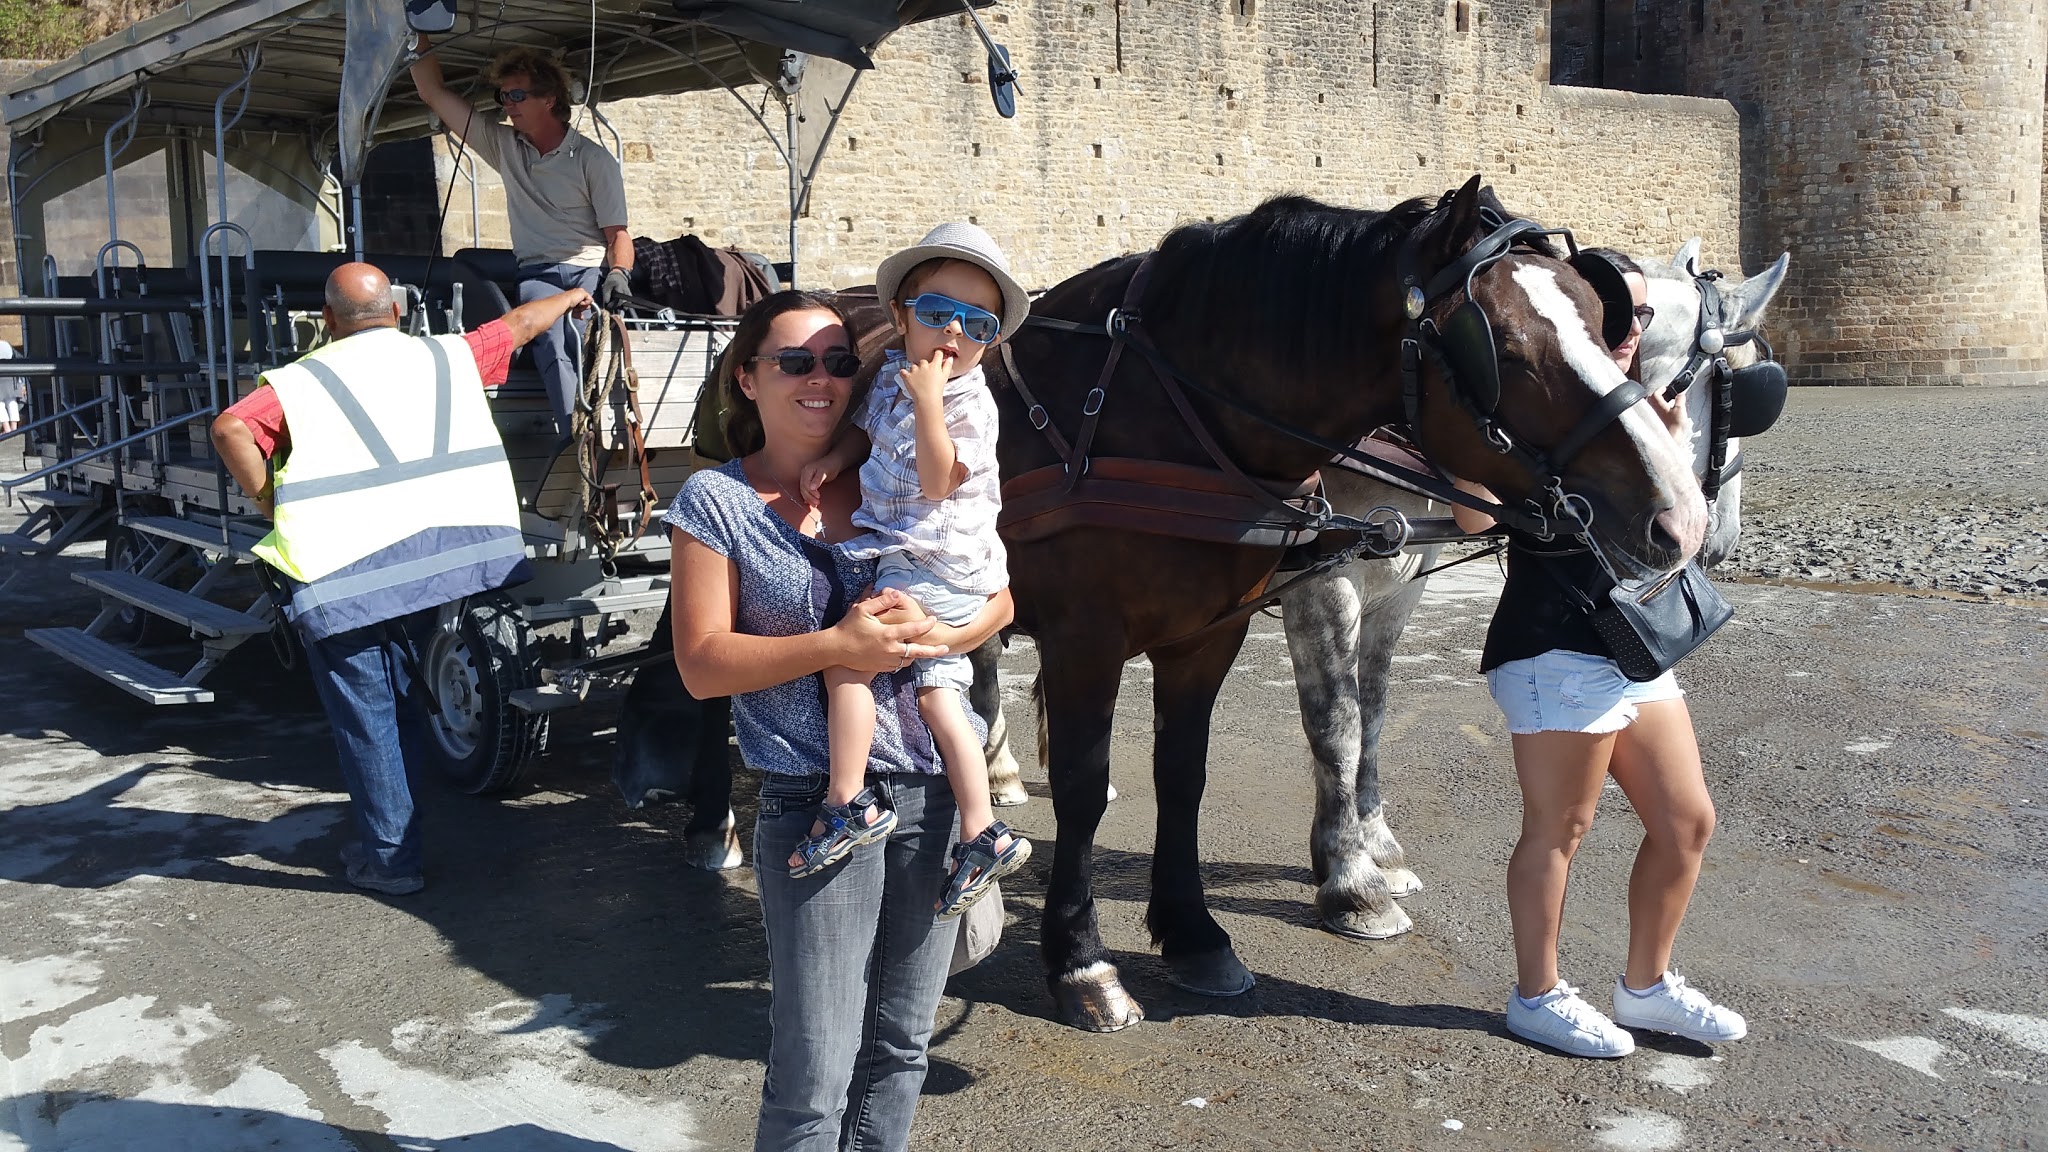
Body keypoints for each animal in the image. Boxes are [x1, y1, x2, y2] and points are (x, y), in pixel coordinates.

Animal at [983, 177, 1703, 1020]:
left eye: (1600, 320)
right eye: (1509, 351)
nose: (1683, 517)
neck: (1150, 405)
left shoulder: (1210, 635)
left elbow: (1189, 776)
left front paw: (1196, 932)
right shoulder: (1091, 637)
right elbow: (1088, 788)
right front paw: (1080, 958)